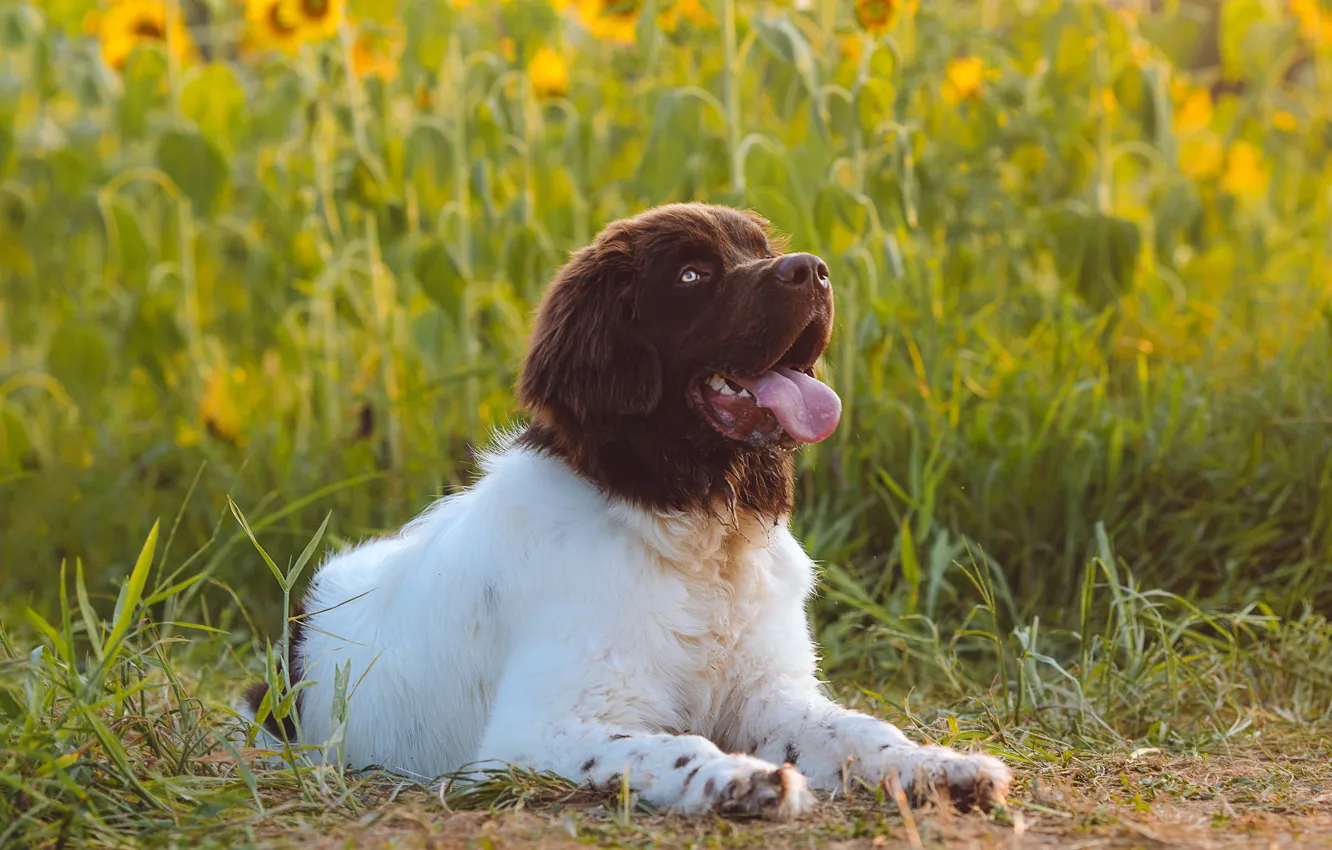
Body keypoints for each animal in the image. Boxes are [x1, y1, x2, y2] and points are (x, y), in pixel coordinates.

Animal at [239, 202, 1006, 820]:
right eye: (692, 276)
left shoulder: (772, 694)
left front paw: (940, 767)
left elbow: (860, 729)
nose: (814, 271)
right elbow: (675, 747)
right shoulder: (535, 732)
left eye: (760, 248)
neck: (696, 529)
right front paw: (744, 781)